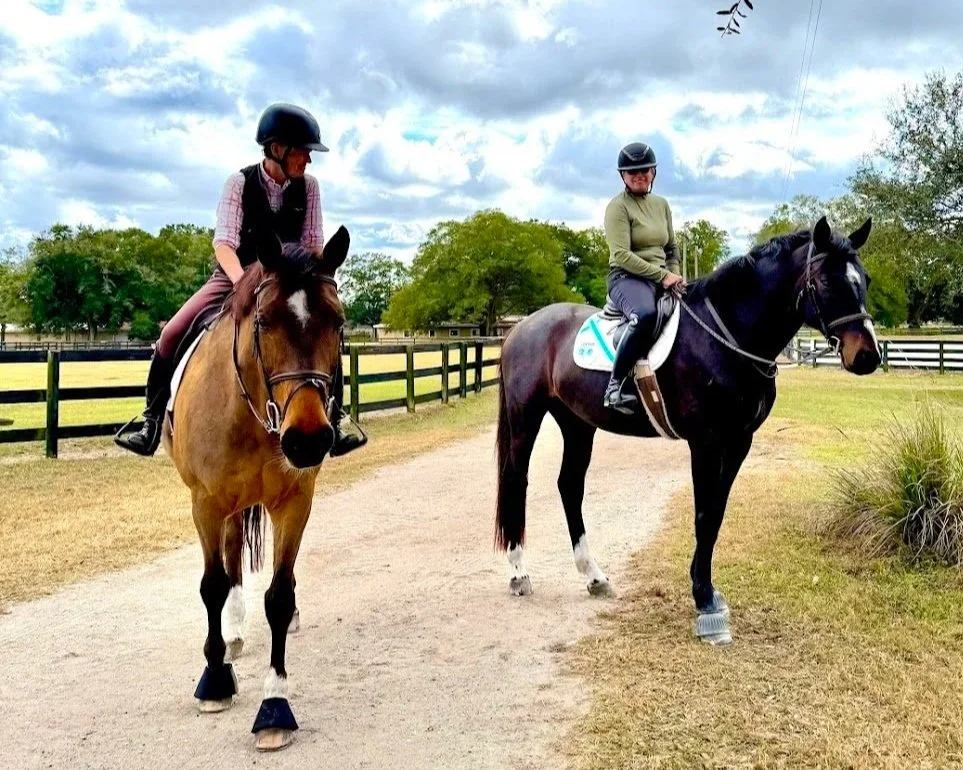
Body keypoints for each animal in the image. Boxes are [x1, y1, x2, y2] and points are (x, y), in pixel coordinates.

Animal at [162, 226, 350, 750]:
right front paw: (213, 680)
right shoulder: (205, 503)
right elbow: (211, 586)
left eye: (338, 322)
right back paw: (230, 637)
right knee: (228, 563)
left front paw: (274, 706)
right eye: (264, 322)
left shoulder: (294, 502)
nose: (307, 439)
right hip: (222, 505)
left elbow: (279, 597)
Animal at [493, 216, 881, 644]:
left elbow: (715, 516)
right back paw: (519, 572)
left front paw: (708, 592)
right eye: (826, 281)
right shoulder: (706, 443)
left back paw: (594, 576)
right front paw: (705, 603)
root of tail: (522, 327)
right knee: (516, 481)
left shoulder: (739, 442)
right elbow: (703, 516)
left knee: (569, 486)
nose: (867, 355)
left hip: (577, 424)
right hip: (526, 418)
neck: (726, 335)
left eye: (864, 279)